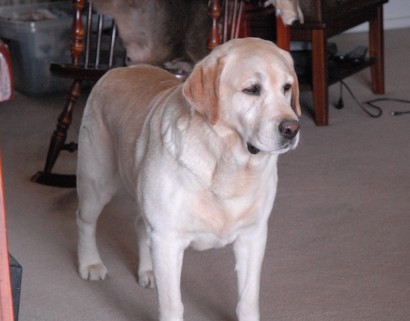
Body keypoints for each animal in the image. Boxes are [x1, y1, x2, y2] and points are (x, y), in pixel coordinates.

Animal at [77, 38, 300, 320]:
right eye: (252, 90)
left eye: (287, 88)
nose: (292, 128)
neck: (226, 161)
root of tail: (116, 70)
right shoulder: (167, 238)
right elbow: (173, 306)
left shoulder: (253, 235)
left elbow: (248, 301)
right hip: (97, 181)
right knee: (85, 220)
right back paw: (90, 263)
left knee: (140, 223)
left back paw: (148, 271)